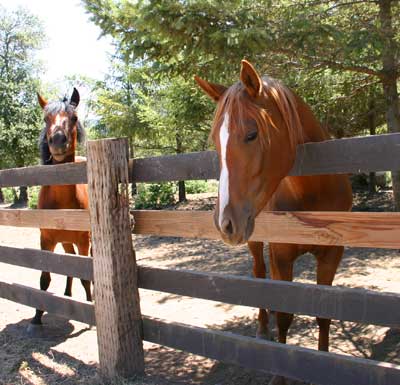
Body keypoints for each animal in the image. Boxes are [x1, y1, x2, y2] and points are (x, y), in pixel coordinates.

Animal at [29, 88, 92, 328]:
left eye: (73, 118)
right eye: (46, 119)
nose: (57, 141)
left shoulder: (84, 241)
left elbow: (86, 276)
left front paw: (91, 309)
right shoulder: (46, 240)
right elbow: (44, 279)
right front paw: (37, 316)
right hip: (64, 241)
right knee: (67, 264)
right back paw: (66, 295)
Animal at [195, 60, 352, 380]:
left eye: (251, 134)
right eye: (216, 140)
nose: (224, 222)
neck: (313, 193)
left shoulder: (332, 255)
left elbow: (324, 315)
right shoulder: (281, 257)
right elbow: (284, 316)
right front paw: (280, 372)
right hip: (254, 240)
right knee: (258, 273)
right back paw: (261, 329)